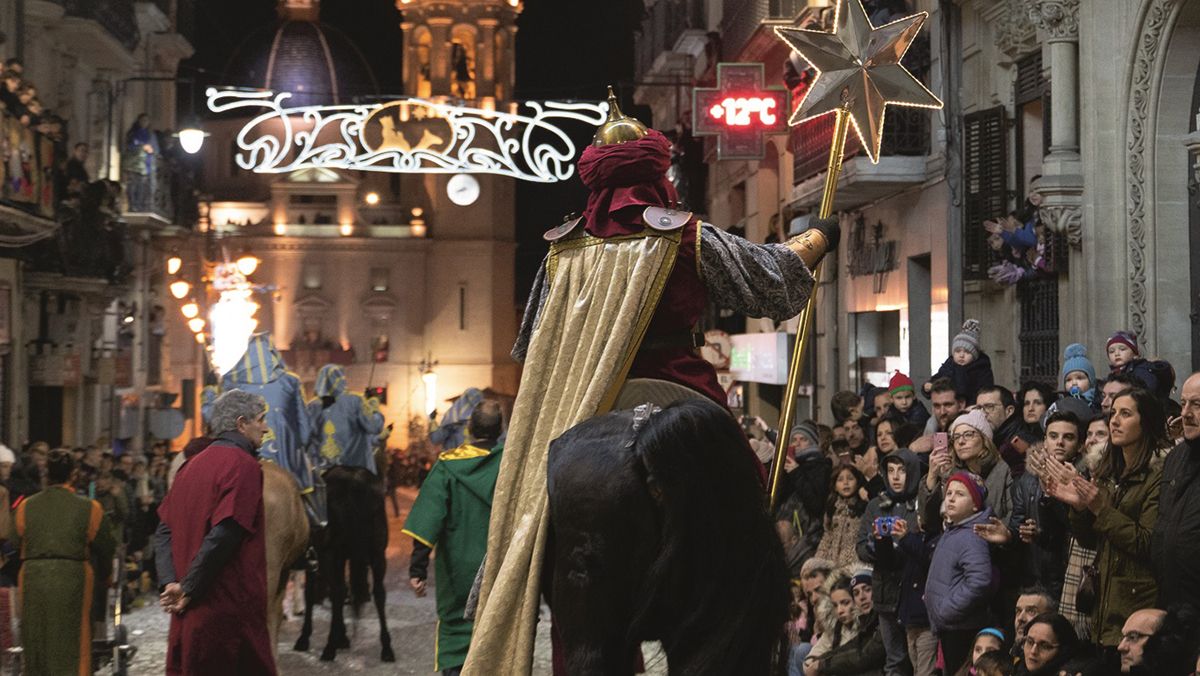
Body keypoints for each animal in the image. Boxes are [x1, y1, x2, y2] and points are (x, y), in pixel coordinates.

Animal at [292, 465, 396, 662]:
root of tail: (355, 481)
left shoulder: (320, 557)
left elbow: (311, 594)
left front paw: (304, 637)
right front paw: (342, 637)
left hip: (330, 554)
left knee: (337, 591)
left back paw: (329, 648)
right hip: (377, 553)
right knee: (379, 593)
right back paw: (386, 648)